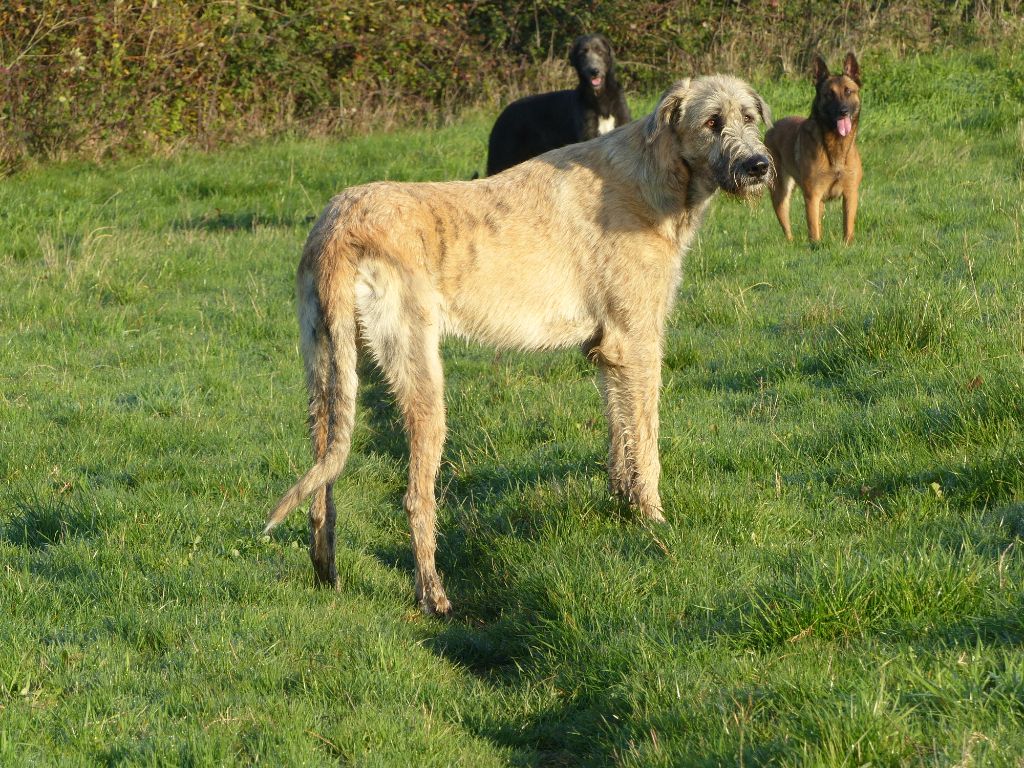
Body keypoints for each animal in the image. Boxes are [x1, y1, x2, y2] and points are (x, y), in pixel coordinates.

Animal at [268, 75, 770, 618]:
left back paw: (326, 573)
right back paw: (433, 595)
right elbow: (647, 439)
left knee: (322, 482)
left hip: (326, 371)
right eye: (712, 122)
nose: (758, 166)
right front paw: (654, 518)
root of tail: (338, 227)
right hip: (420, 375)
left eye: (749, 118)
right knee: (415, 497)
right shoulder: (637, 341)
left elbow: (619, 433)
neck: (655, 172)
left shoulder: (608, 351)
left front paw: (625, 505)